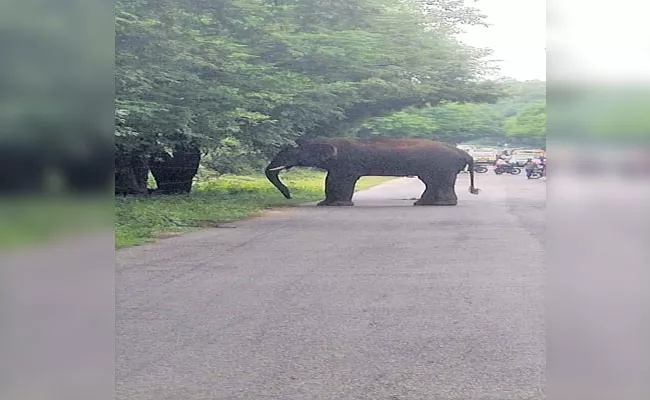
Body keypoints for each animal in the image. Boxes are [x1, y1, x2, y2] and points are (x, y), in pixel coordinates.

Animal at [260, 138, 478, 206]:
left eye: (289, 151)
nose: (288, 194)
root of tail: (464, 153)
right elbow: (330, 180)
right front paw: (324, 204)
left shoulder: (347, 163)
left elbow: (341, 180)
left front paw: (339, 205)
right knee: (432, 182)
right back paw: (422, 204)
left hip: (444, 166)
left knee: (440, 182)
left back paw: (443, 204)